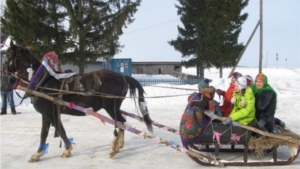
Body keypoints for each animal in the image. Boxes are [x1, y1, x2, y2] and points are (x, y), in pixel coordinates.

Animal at [5, 41, 152, 162]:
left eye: (7, 55)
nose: (4, 70)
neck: (42, 81)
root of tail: (123, 76)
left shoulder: (51, 113)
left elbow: (60, 130)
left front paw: (67, 150)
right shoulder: (46, 114)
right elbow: (43, 134)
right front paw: (37, 154)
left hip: (111, 107)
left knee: (121, 123)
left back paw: (113, 149)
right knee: (122, 124)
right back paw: (119, 145)